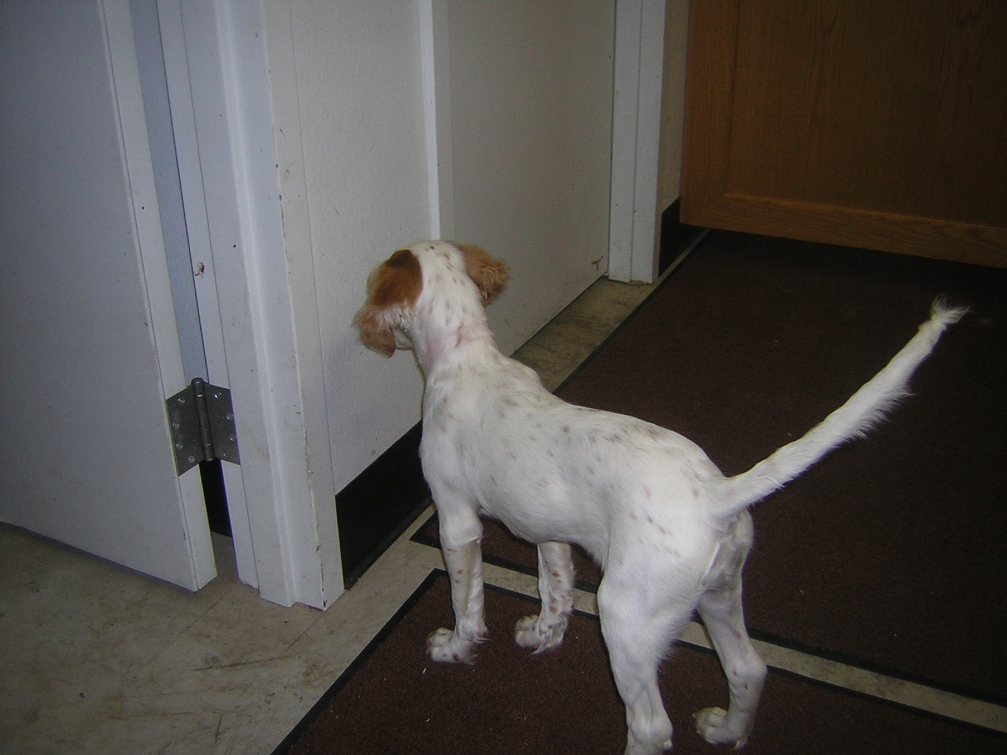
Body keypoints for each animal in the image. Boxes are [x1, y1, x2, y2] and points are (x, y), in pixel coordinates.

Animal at [354, 241, 963, 754]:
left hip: (625, 615)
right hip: (719, 594)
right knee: (749, 669)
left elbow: (467, 601)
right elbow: (555, 588)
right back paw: (727, 730)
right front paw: (542, 635)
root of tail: (717, 493)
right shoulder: (550, 531)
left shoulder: (455, 520)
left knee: (650, 724)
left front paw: (455, 649)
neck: (467, 356)